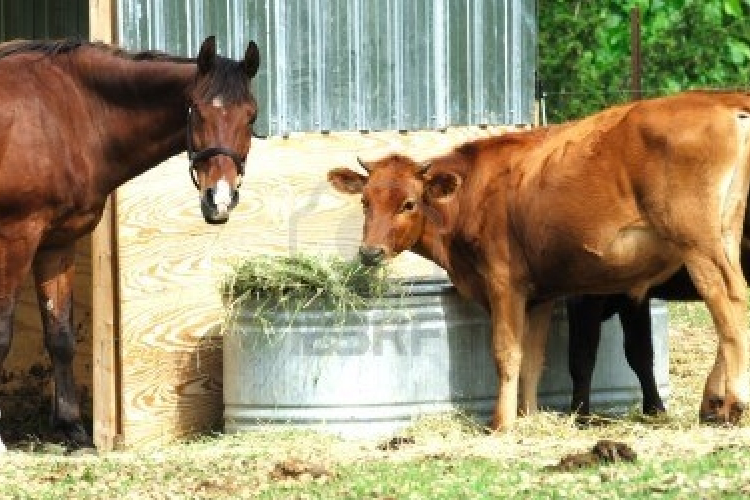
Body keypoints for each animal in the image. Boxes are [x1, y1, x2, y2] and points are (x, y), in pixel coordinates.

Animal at [0, 37, 262, 448]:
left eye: (250, 116)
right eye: (197, 111)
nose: (218, 200)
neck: (62, 115)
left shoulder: (57, 242)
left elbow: (60, 336)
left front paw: (73, 430)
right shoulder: (16, 236)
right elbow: (2, 334)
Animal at [332, 93, 750, 430]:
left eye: (409, 204)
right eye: (365, 201)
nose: (370, 252)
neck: (477, 191)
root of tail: (724, 104)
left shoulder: (505, 283)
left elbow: (508, 352)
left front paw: (501, 423)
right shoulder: (541, 294)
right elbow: (533, 358)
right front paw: (528, 415)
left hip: (698, 242)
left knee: (729, 301)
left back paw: (734, 401)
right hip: (725, 236)